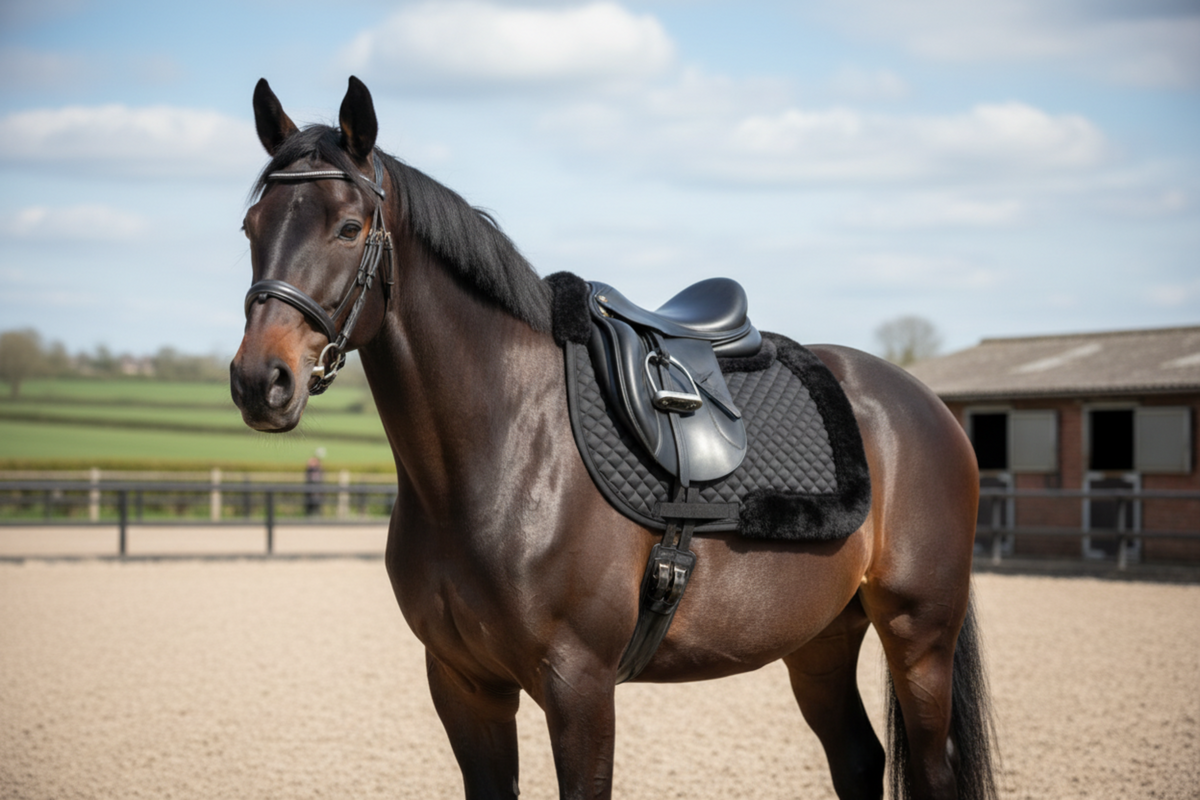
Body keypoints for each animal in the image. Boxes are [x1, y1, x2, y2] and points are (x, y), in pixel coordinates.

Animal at [231, 76, 997, 800]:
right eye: (249, 226)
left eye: (348, 226)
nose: (258, 380)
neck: (501, 450)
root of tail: (921, 403)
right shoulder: (463, 685)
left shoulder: (581, 687)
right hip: (822, 639)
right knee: (859, 762)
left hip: (919, 636)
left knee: (932, 771)